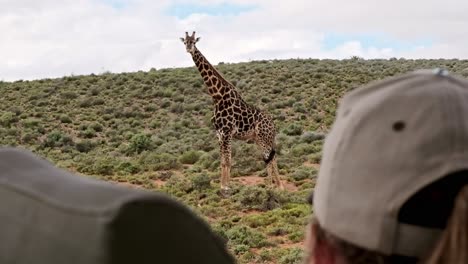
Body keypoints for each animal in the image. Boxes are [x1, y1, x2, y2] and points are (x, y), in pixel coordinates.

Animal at [180, 31, 284, 192]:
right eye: (185, 41)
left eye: (194, 42)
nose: (189, 48)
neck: (217, 96)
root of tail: (273, 125)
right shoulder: (219, 133)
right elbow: (223, 161)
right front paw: (222, 185)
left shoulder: (227, 132)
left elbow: (228, 160)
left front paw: (226, 187)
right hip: (259, 138)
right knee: (269, 158)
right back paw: (271, 186)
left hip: (264, 137)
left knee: (271, 158)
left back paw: (277, 187)